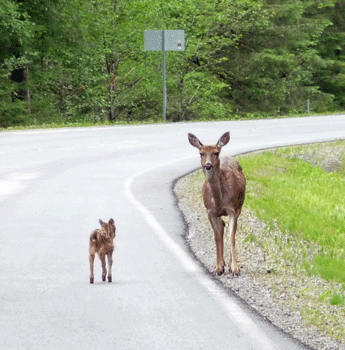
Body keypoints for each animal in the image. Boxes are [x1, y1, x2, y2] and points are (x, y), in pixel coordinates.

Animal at [188, 132, 245, 276]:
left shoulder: (232, 209)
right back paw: (223, 263)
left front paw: (234, 268)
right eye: (201, 153)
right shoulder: (210, 211)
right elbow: (217, 236)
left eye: (216, 152)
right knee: (222, 227)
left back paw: (229, 263)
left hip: (240, 206)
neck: (219, 200)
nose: (208, 165)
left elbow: (231, 236)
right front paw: (218, 267)